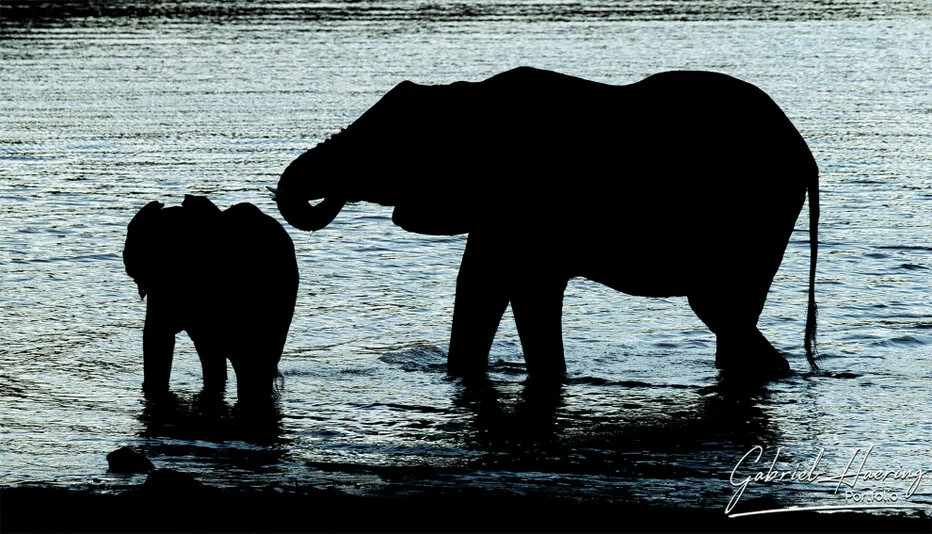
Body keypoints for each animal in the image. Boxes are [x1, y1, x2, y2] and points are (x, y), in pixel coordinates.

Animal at [272, 66, 819, 381]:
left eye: (386, 147)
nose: (331, 192)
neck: (466, 98)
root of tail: (806, 157)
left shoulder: (525, 202)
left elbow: (522, 289)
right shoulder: (499, 209)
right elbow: (483, 285)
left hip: (755, 213)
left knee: (718, 306)